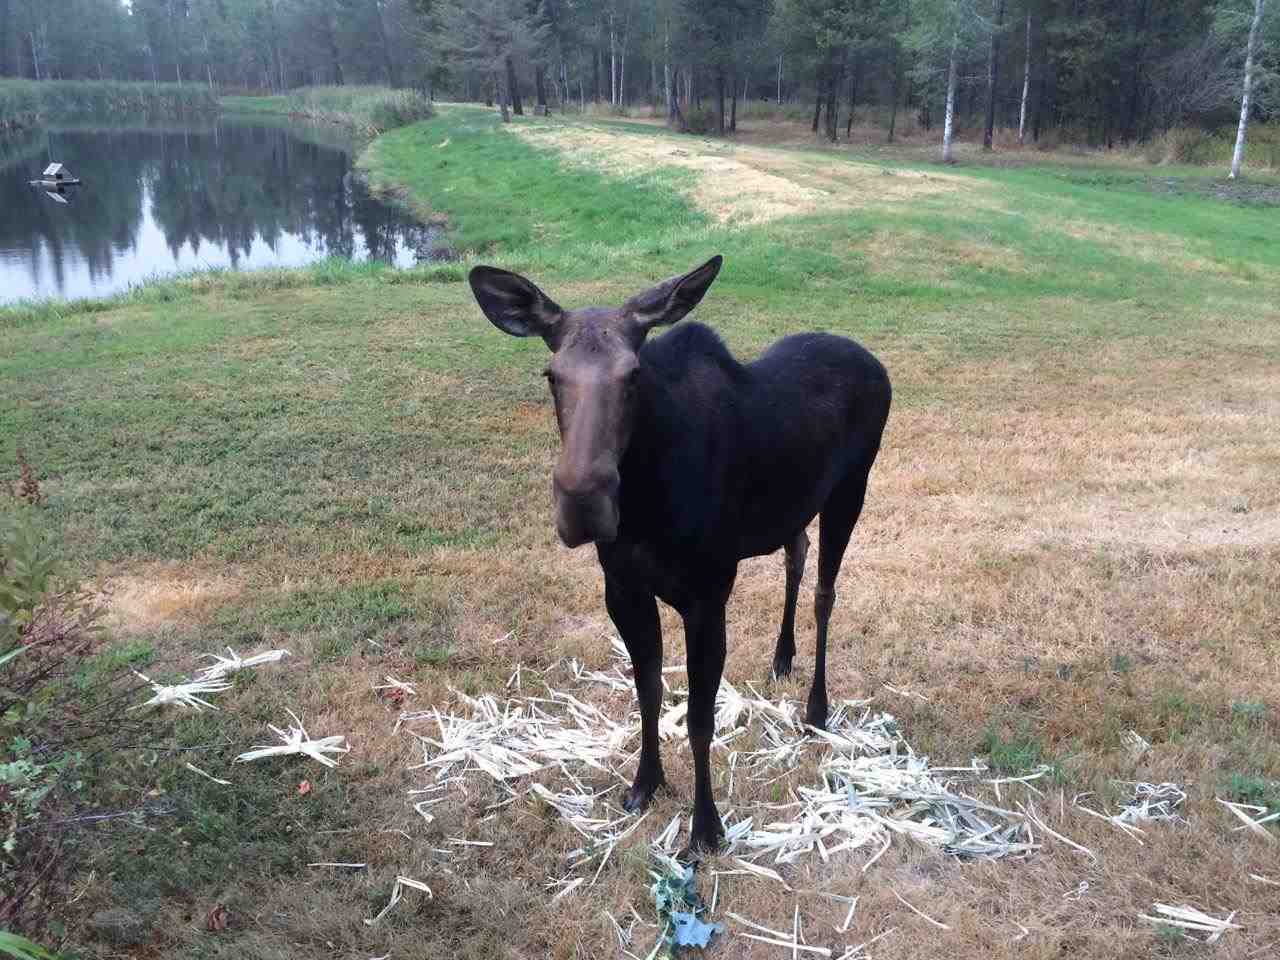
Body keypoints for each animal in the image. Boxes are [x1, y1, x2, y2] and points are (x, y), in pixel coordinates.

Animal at [468, 255, 891, 856]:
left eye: (633, 375)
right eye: (552, 375)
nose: (583, 500)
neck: (648, 502)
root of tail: (876, 363)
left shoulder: (707, 598)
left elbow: (697, 719)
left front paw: (706, 827)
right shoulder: (623, 589)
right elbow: (647, 691)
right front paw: (645, 783)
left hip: (851, 489)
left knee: (825, 593)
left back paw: (817, 708)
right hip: (795, 505)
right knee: (797, 552)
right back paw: (781, 656)